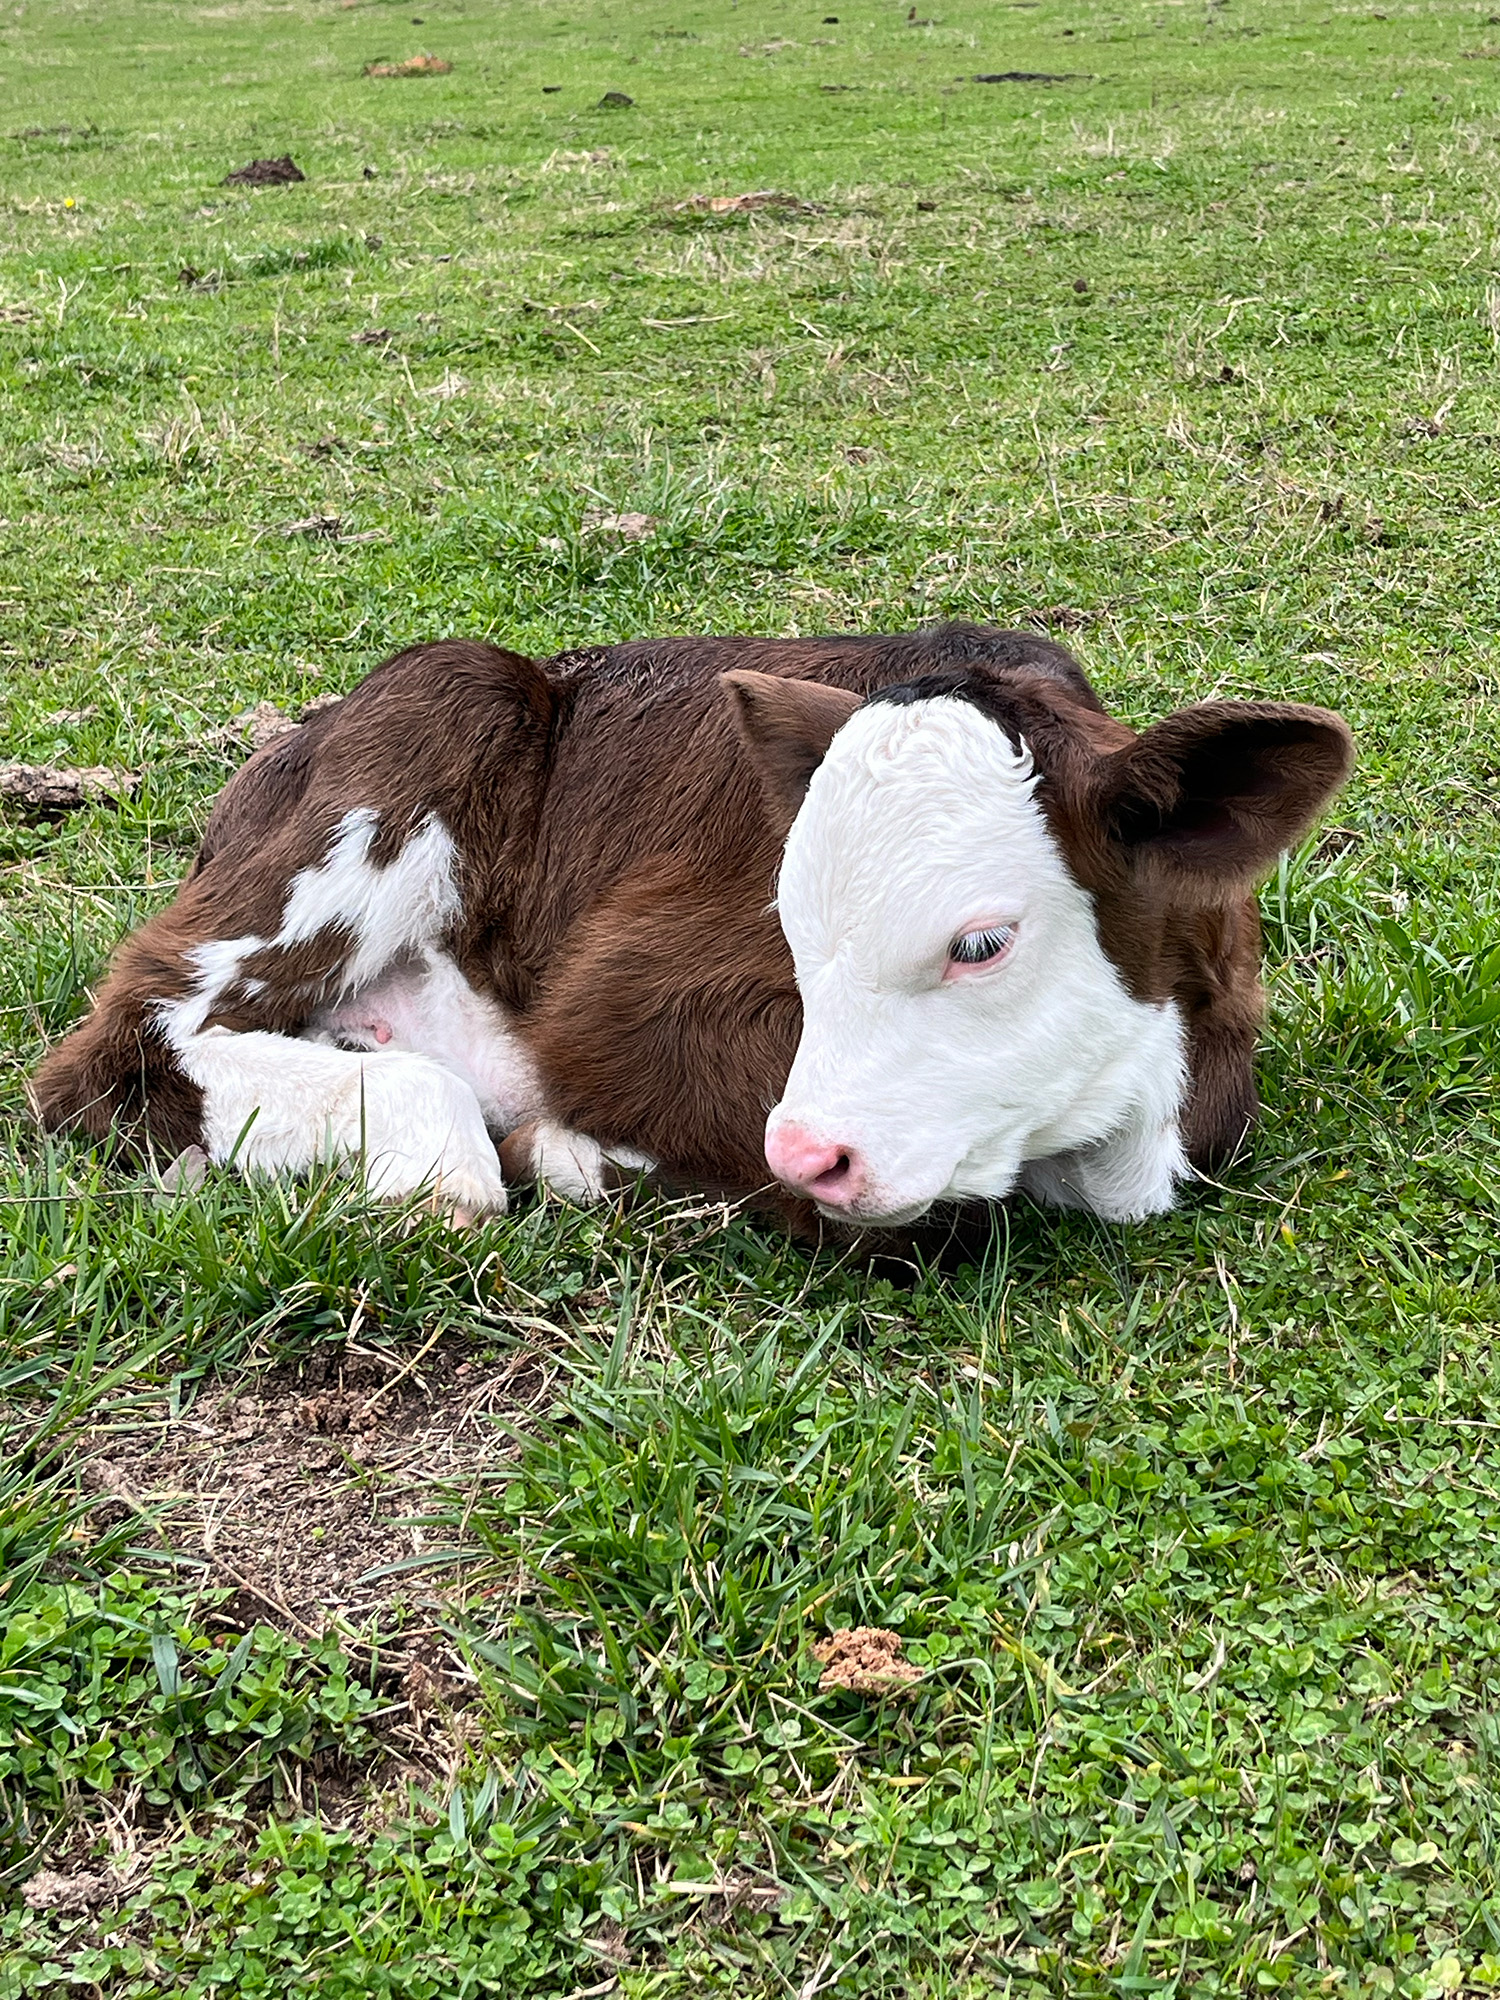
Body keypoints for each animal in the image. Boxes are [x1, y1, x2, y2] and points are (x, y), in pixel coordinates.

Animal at [30, 625, 1354, 1235]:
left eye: (981, 940)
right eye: (791, 925)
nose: (812, 1150)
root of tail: (283, 746)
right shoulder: (621, 1003)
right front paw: (574, 1150)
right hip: (432, 712)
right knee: (118, 1039)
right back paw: (439, 1152)